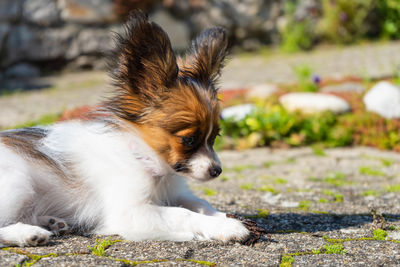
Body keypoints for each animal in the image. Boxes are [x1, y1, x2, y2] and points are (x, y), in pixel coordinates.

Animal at [0, 11, 250, 248]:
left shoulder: (176, 192)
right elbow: (183, 214)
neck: (145, 159)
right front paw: (226, 227)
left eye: (215, 137)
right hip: (19, 183)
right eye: (189, 140)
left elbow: (200, 202)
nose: (217, 170)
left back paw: (52, 222)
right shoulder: (132, 212)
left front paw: (225, 218)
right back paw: (29, 233)